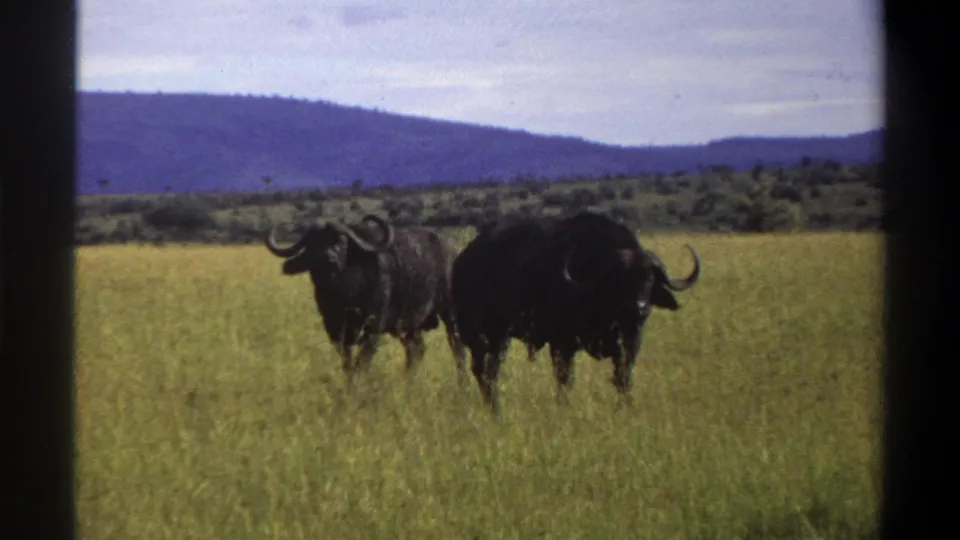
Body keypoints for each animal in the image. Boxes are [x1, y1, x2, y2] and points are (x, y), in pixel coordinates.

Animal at [265, 214, 467, 385]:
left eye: (342, 241)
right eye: (313, 243)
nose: (328, 258)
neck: (344, 293)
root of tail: (452, 252)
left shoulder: (374, 327)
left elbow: (362, 361)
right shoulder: (335, 329)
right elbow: (347, 362)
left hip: (450, 312)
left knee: (457, 346)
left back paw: (462, 382)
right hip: (408, 325)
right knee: (417, 350)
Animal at [451, 212, 700, 414]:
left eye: (649, 279)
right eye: (619, 279)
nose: (638, 308)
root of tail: (462, 263)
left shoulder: (631, 342)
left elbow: (623, 377)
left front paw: (624, 407)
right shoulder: (562, 342)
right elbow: (565, 379)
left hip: (499, 339)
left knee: (489, 370)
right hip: (482, 335)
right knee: (483, 370)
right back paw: (495, 408)